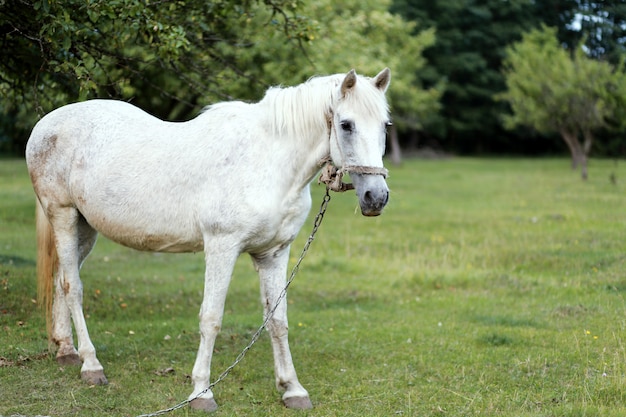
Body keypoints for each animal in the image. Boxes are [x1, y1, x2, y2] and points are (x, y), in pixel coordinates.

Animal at [28, 67, 390, 410]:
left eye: (385, 125)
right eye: (346, 124)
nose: (376, 197)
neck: (268, 161)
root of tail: (45, 124)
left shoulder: (274, 253)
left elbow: (278, 320)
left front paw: (292, 390)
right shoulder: (221, 247)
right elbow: (211, 318)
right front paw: (201, 392)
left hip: (85, 228)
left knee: (62, 278)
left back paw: (66, 351)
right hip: (64, 216)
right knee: (72, 287)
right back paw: (91, 366)